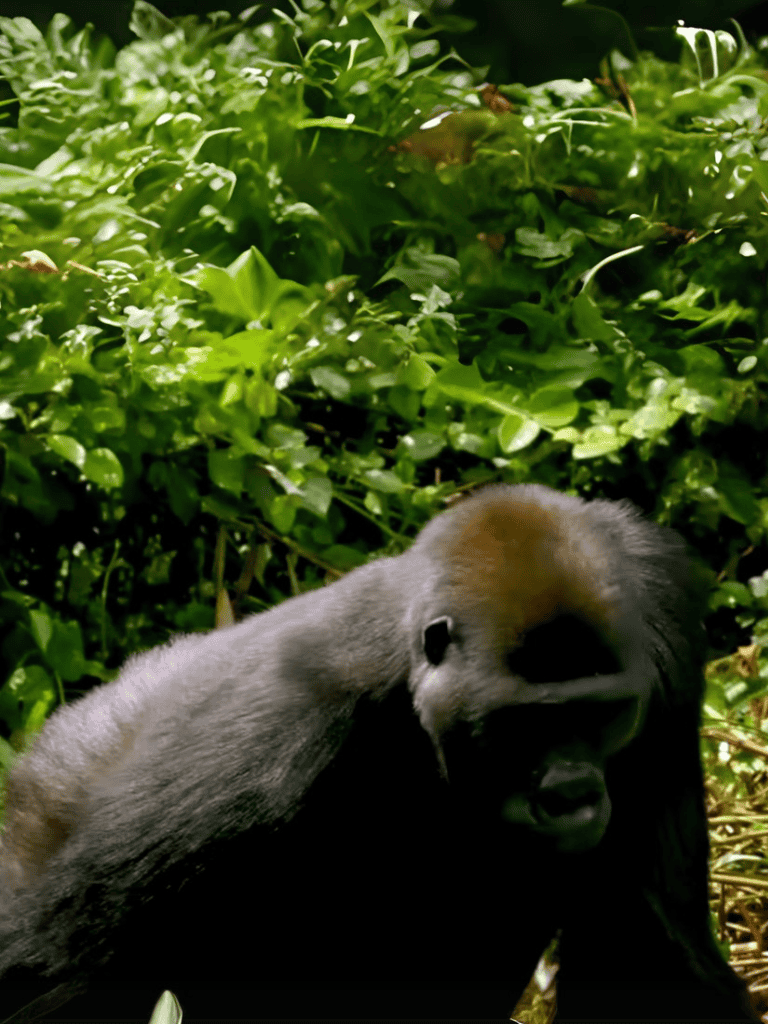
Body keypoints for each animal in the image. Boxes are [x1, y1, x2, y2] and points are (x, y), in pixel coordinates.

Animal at [0, 484, 758, 1022]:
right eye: (524, 723)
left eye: (601, 713)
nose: (571, 794)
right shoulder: (265, 748)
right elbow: (58, 974)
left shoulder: (664, 627)